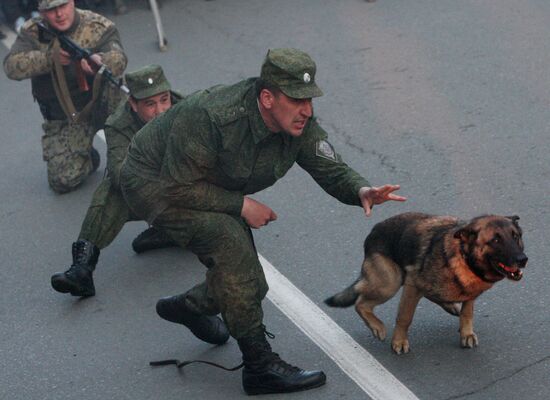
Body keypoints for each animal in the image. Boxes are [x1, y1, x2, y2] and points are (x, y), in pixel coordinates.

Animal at [326, 212, 528, 354]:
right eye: (495, 240)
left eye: (515, 236)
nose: (523, 259)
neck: (463, 256)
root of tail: (373, 231)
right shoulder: (412, 285)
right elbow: (405, 317)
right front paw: (399, 341)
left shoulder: (469, 292)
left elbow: (467, 312)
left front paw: (466, 333)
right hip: (390, 283)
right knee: (360, 302)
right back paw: (377, 326)